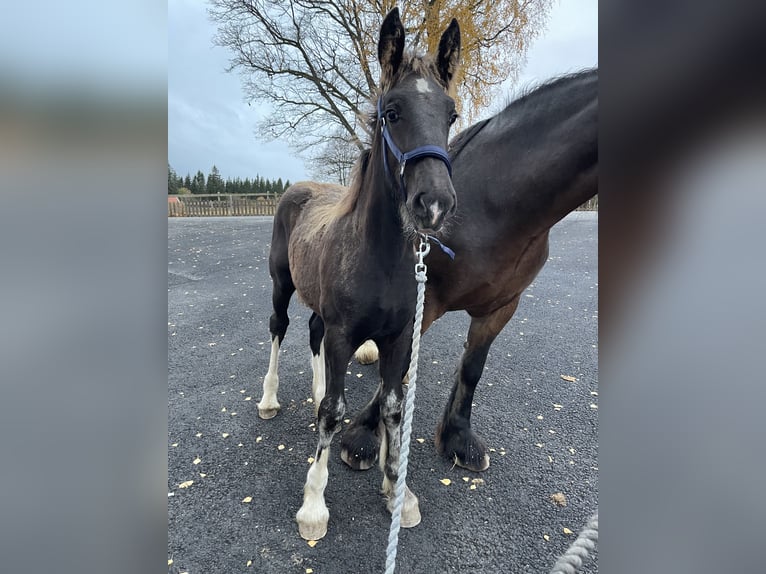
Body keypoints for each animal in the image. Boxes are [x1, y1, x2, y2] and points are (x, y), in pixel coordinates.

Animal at [342, 68, 600, 472]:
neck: (496, 204)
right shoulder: (422, 299)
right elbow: (396, 370)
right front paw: (363, 435)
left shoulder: (503, 306)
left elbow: (472, 368)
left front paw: (458, 437)